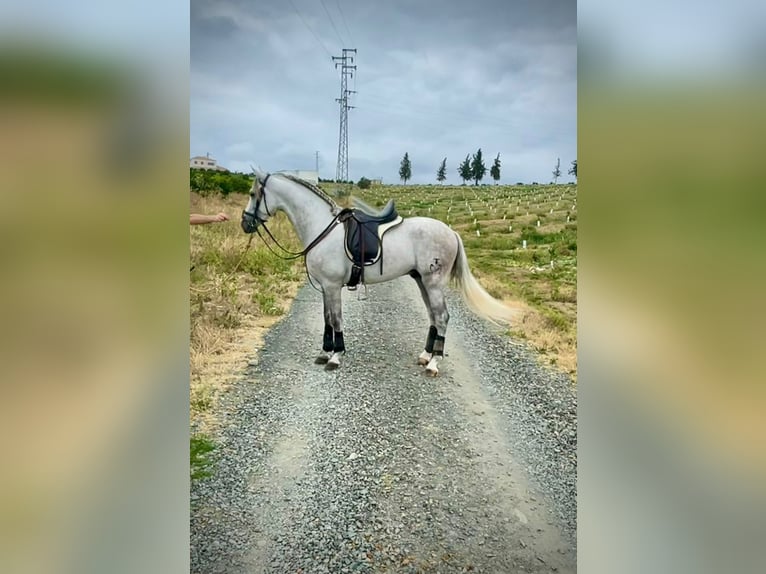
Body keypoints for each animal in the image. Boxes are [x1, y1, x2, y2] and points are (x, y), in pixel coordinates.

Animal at [240, 170, 516, 378]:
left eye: (253, 194)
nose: (245, 224)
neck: (322, 228)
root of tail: (451, 232)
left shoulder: (332, 286)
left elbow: (336, 319)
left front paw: (336, 356)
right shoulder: (325, 287)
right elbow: (327, 318)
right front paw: (324, 353)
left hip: (434, 282)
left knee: (442, 317)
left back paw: (433, 364)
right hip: (421, 281)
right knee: (433, 317)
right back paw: (425, 355)